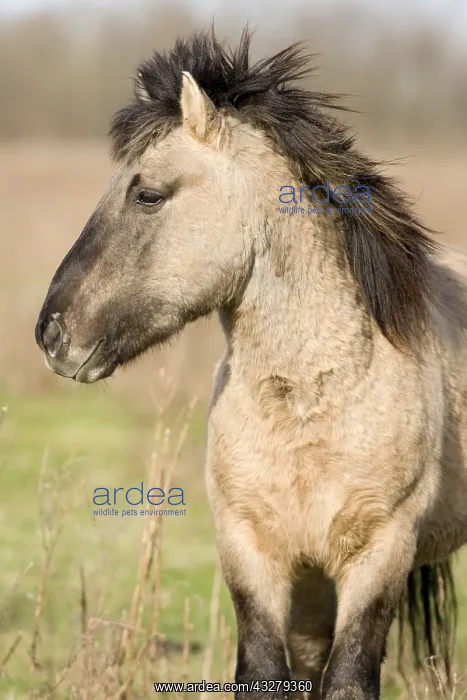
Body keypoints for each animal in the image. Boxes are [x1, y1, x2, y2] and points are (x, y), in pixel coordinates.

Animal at [35, 29, 466, 700]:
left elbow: (348, 680)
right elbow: (265, 672)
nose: (52, 333)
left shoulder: (380, 555)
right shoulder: (252, 553)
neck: (309, 404)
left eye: (147, 194)